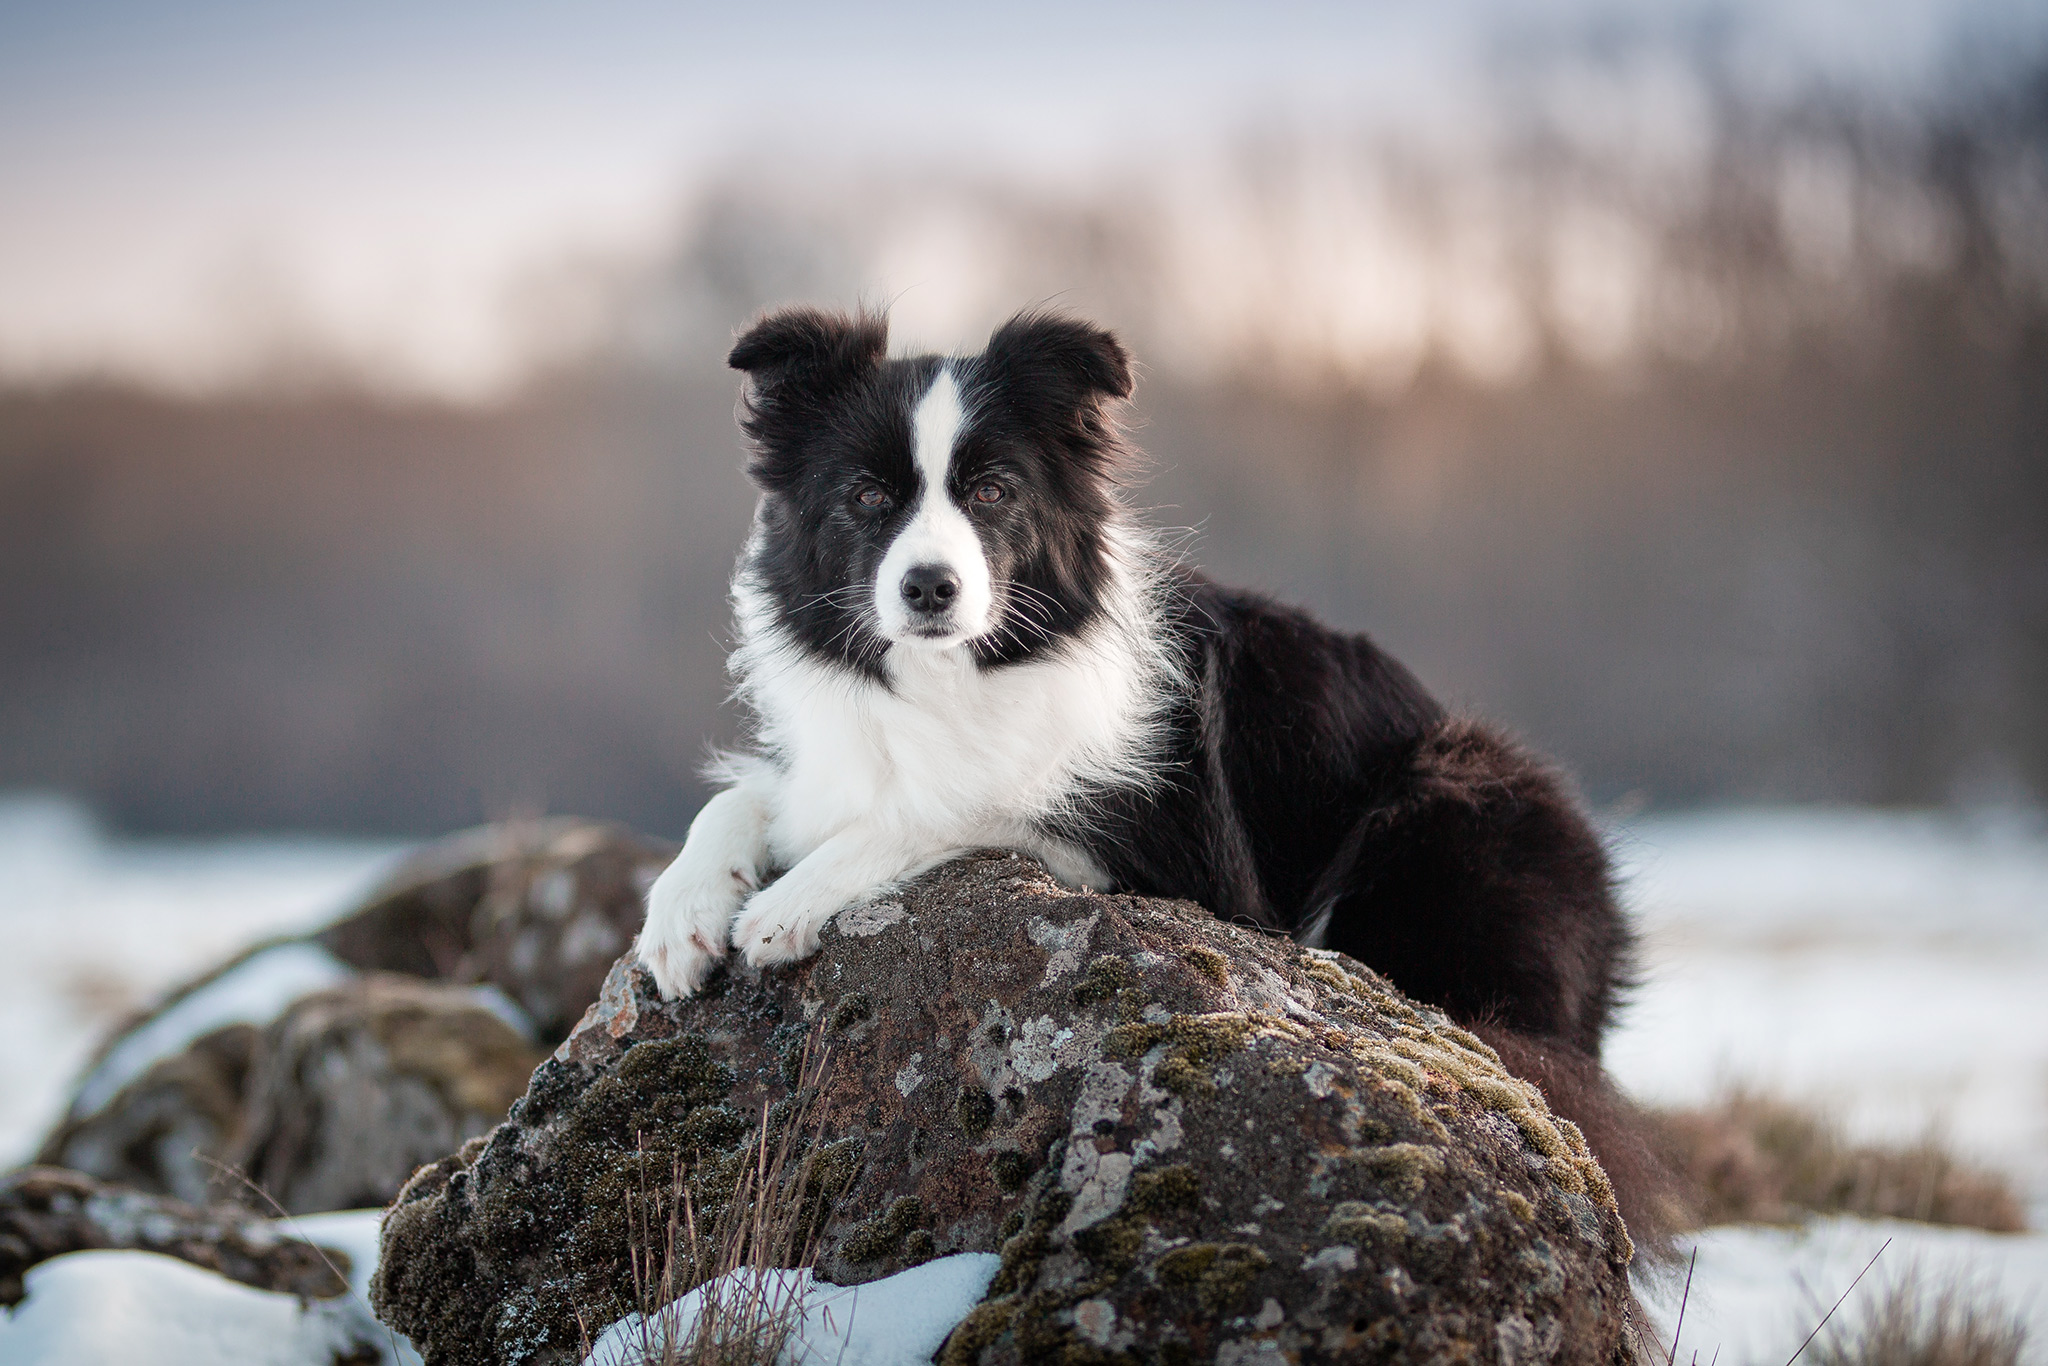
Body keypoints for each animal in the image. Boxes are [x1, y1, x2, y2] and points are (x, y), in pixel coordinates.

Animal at [638, 305, 1662, 1236]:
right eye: (866, 496)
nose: (931, 588)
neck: (957, 676)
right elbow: (747, 797)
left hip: (1454, 784)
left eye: (994, 492)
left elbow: (960, 801)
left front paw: (787, 903)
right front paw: (681, 913)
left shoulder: (1170, 845)